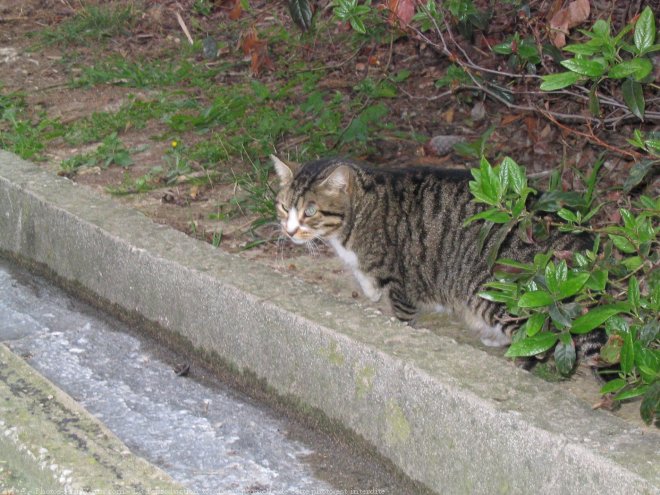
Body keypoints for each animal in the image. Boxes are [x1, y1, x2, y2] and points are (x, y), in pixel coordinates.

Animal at [270, 157, 592, 350]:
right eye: (284, 207)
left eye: (310, 211)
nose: (289, 231)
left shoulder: (400, 282)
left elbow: (402, 313)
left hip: (503, 293)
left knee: (537, 342)